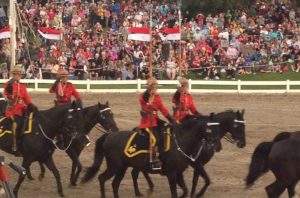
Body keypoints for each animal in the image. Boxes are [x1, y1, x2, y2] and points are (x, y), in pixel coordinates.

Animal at [81, 115, 221, 197]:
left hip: (122, 167)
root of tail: (109, 135)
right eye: (209, 129)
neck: (180, 141)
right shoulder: (172, 173)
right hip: (114, 166)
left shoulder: (179, 172)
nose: (216, 144)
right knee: (102, 178)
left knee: (115, 183)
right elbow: (175, 193)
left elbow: (185, 190)